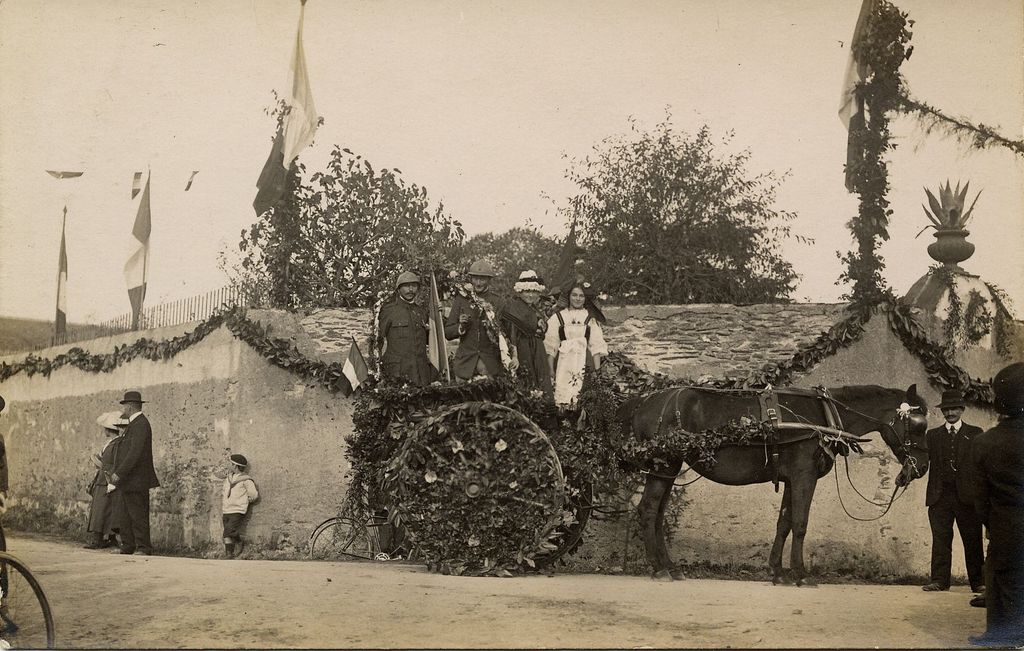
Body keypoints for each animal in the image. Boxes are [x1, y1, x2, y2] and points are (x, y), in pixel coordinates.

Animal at [618, 380, 933, 585]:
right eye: (918, 425)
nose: (922, 467)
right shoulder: (804, 475)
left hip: (668, 469)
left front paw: (778, 572)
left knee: (658, 514)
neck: (825, 416)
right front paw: (801, 574)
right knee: (648, 510)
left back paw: (669, 566)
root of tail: (644, 401)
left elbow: (785, 522)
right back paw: (659, 569)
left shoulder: (793, 478)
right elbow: (801, 523)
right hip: (664, 464)